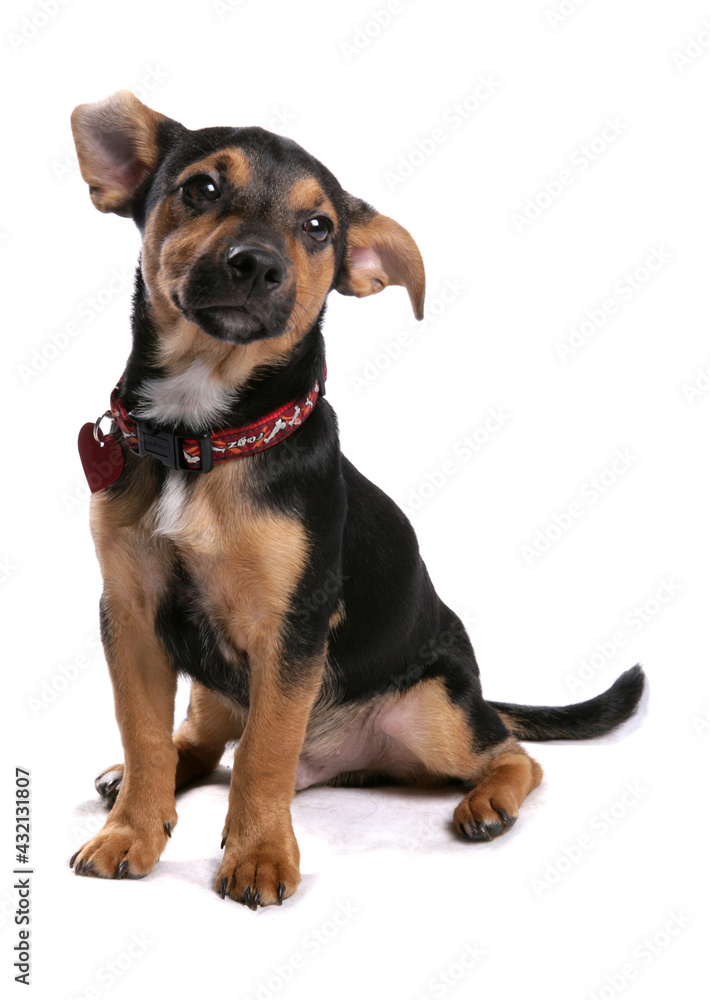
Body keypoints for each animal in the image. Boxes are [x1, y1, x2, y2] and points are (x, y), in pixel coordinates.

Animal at [69, 94, 648, 908]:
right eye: (201, 188)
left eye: (319, 227)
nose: (257, 264)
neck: (203, 434)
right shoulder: (129, 612)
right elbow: (146, 737)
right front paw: (130, 832)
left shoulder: (294, 625)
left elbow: (265, 753)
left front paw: (258, 857)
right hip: (216, 695)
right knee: (200, 744)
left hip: (436, 711)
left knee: (513, 755)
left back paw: (489, 803)